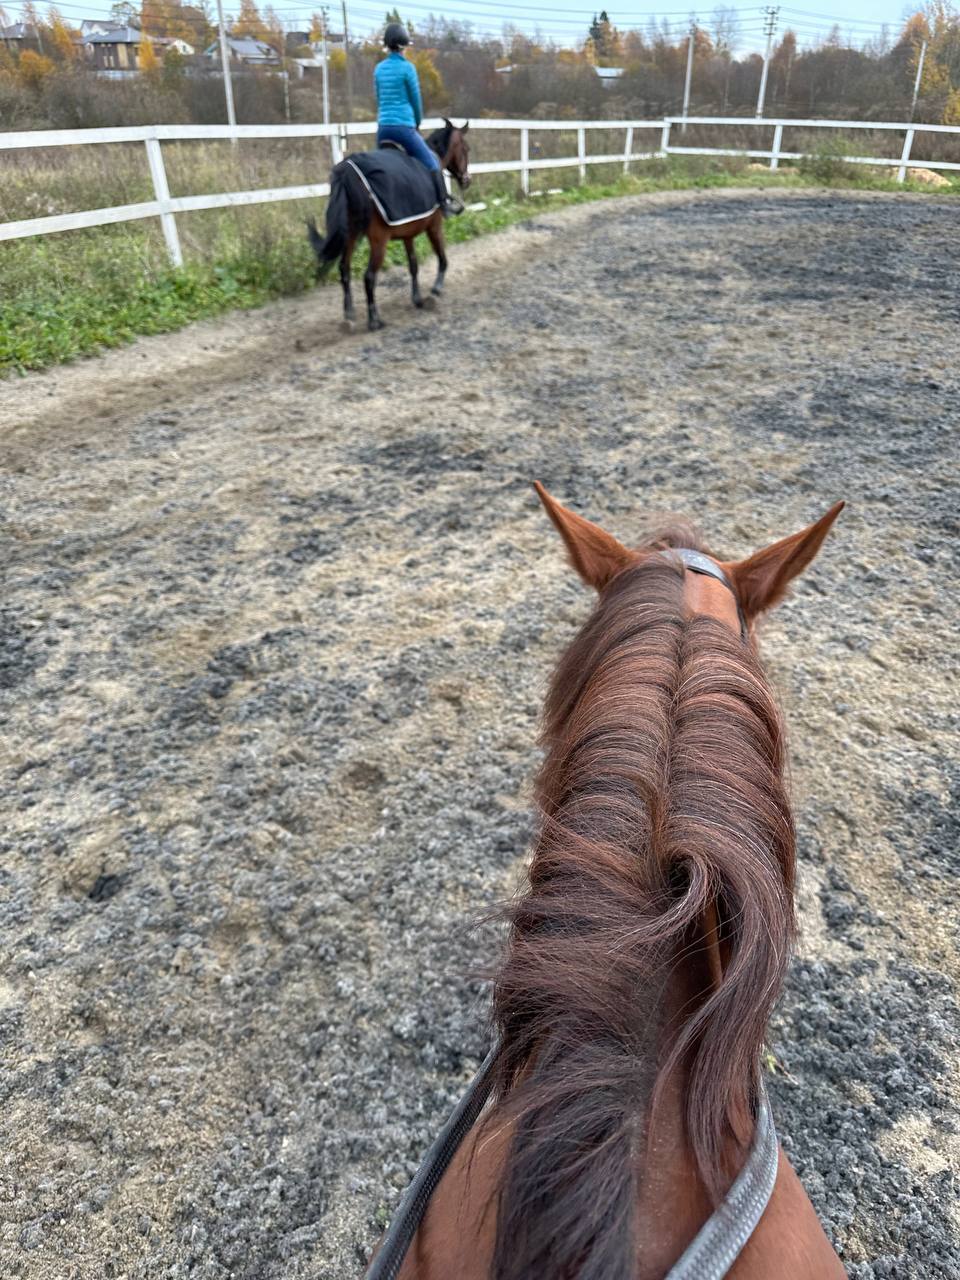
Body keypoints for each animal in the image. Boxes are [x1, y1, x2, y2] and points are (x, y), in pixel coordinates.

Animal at [305, 119, 471, 330]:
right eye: (466, 148)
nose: (466, 180)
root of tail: (348, 171)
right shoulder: (434, 226)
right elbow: (441, 256)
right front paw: (435, 290)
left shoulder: (408, 234)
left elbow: (413, 265)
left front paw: (417, 298)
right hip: (378, 240)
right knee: (368, 276)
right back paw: (374, 320)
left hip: (350, 234)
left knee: (344, 269)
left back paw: (349, 315)